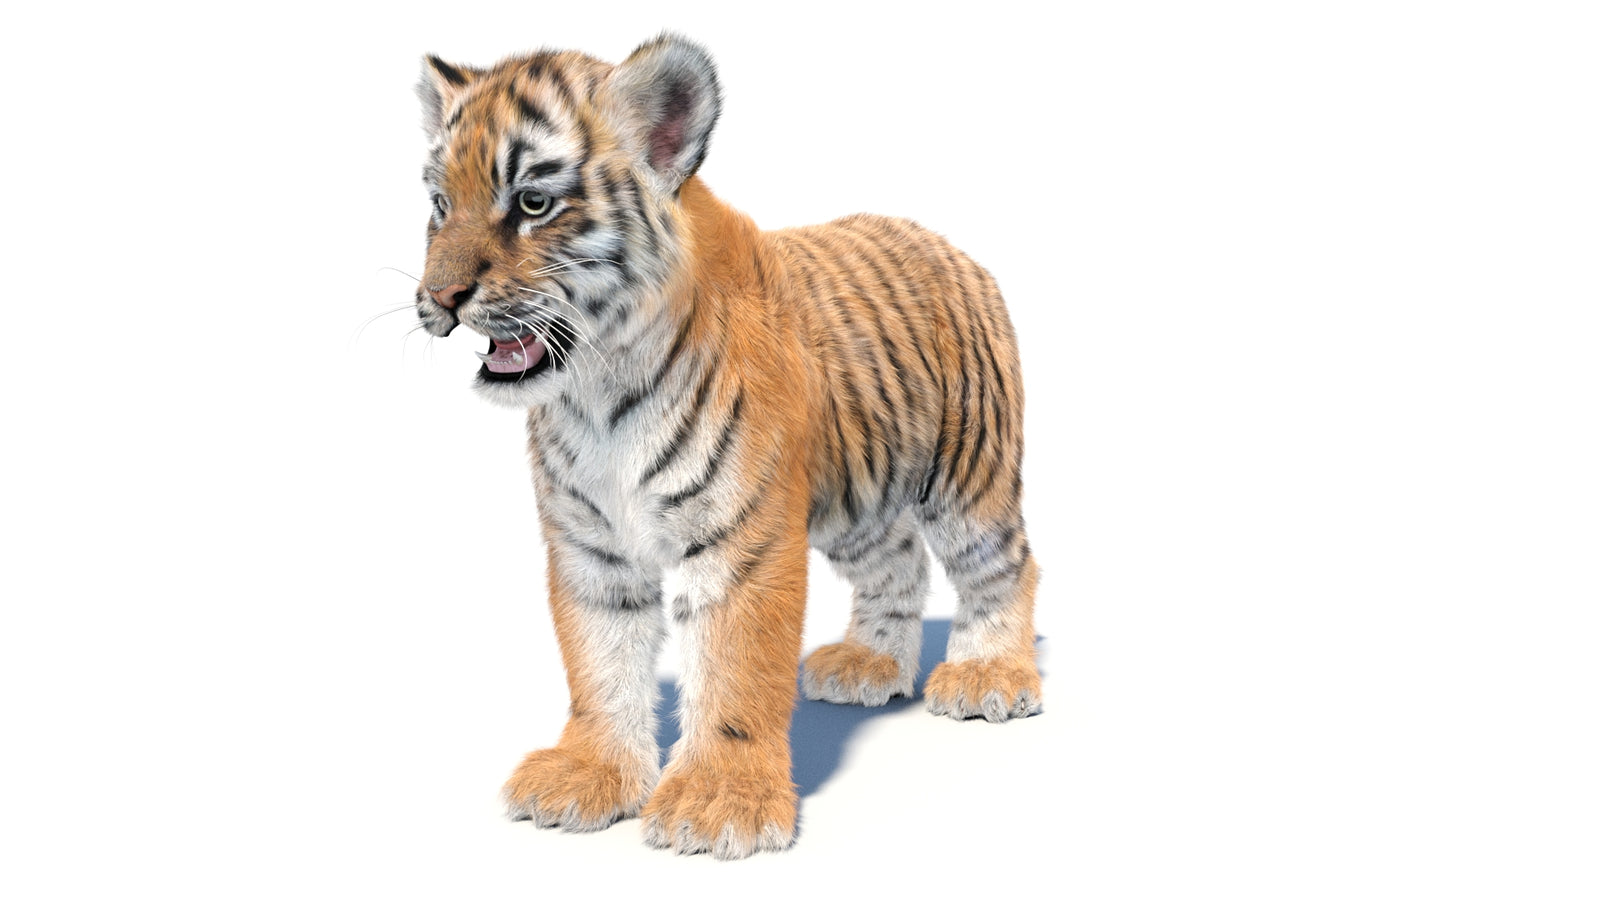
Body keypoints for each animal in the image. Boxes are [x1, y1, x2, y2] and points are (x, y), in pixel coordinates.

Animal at [412, 33, 1041, 859]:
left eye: (532, 203)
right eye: (438, 205)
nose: (439, 298)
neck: (598, 393)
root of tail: (947, 244)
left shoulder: (740, 538)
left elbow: (737, 668)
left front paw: (718, 804)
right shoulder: (590, 548)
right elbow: (599, 663)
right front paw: (588, 775)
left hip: (968, 475)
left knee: (1006, 567)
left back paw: (991, 675)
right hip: (858, 503)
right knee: (900, 561)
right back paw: (868, 663)